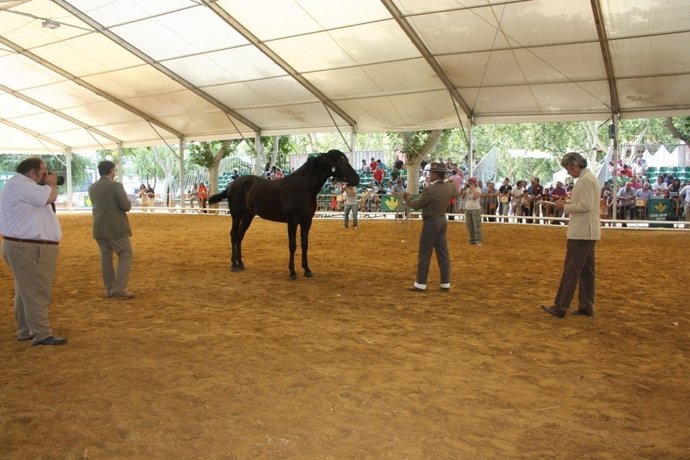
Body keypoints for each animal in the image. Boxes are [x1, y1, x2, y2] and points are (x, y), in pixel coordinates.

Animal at [208, 149, 360, 280]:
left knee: (240, 236)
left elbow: (304, 244)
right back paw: (234, 264)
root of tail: (231, 185)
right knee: (234, 235)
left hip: (248, 216)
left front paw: (307, 270)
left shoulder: (307, 221)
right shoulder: (292, 221)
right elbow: (292, 245)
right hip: (236, 215)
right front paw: (292, 272)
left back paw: (240, 263)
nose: (357, 179)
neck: (303, 188)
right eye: (339, 162)